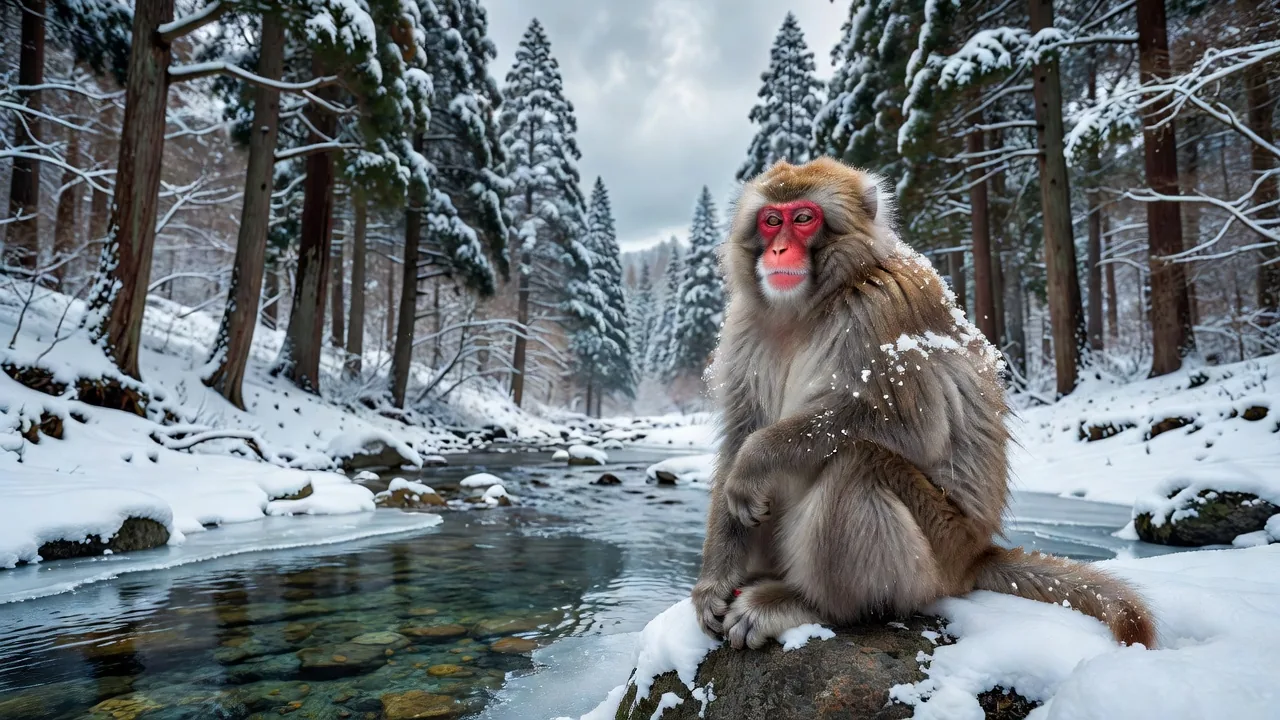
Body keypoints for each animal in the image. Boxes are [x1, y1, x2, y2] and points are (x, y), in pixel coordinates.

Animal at [691, 157, 1155, 651]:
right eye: (771, 220)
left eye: (802, 219)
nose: (778, 250)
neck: (809, 305)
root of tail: (974, 554)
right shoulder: (745, 323)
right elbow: (740, 430)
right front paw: (713, 583)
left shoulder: (880, 311)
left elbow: (910, 425)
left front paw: (756, 460)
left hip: (939, 548)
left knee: (859, 461)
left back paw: (809, 604)